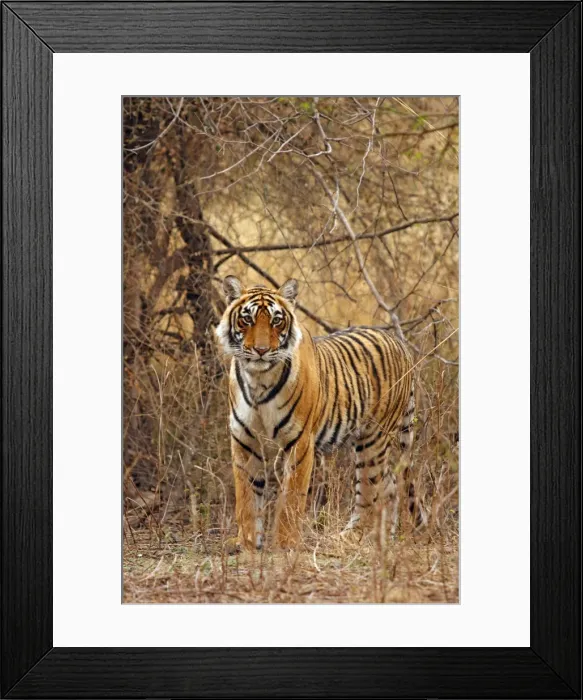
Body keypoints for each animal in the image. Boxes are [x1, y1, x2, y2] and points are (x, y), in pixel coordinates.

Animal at [215, 275, 425, 551]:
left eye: (276, 320)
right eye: (247, 319)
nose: (261, 350)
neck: (258, 379)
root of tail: (400, 343)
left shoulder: (300, 442)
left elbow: (292, 497)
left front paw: (285, 544)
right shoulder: (244, 441)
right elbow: (246, 498)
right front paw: (247, 542)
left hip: (374, 439)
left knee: (372, 489)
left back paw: (352, 536)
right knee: (389, 484)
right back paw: (384, 538)